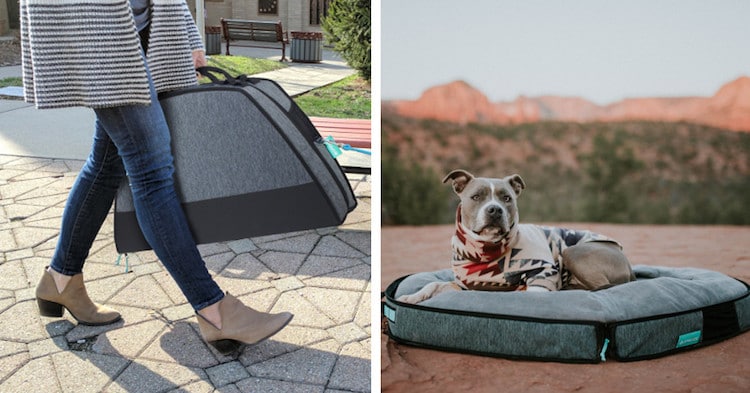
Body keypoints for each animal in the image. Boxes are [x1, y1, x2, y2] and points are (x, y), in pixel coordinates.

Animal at [396, 169, 636, 304]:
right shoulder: (463, 283)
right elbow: (433, 284)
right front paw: (412, 296)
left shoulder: (542, 276)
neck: (487, 251)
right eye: (476, 196)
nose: (495, 210)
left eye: (507, 198)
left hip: (573, 252)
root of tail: (628, 265)